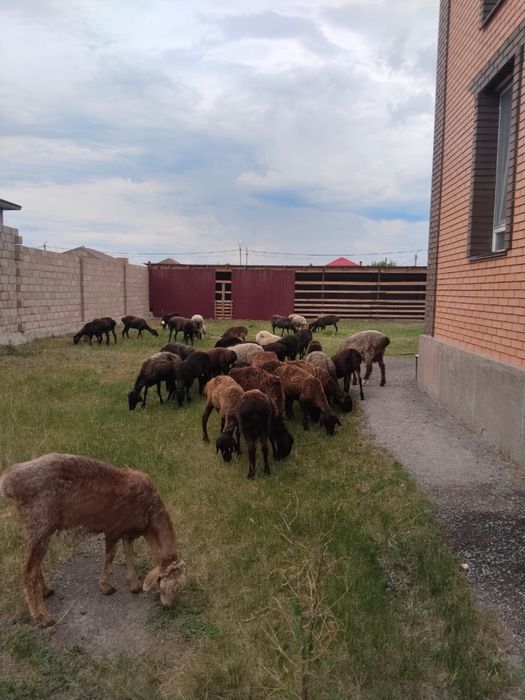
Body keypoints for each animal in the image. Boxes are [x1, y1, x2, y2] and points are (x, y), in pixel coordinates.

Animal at [0, 453, 186, 627]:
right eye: (166, 586)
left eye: (179, 587)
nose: (169, 606)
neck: (148, 513)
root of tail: (8, 480)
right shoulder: (114, 528)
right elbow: (111, 555)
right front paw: (106, 586)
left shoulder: (128, 531)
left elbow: (129, 553)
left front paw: (134, 584)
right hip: (39, 521)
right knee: (28, 571)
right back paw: (43, 617)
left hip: (37, 529)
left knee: (34, 564)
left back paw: (45, 592)